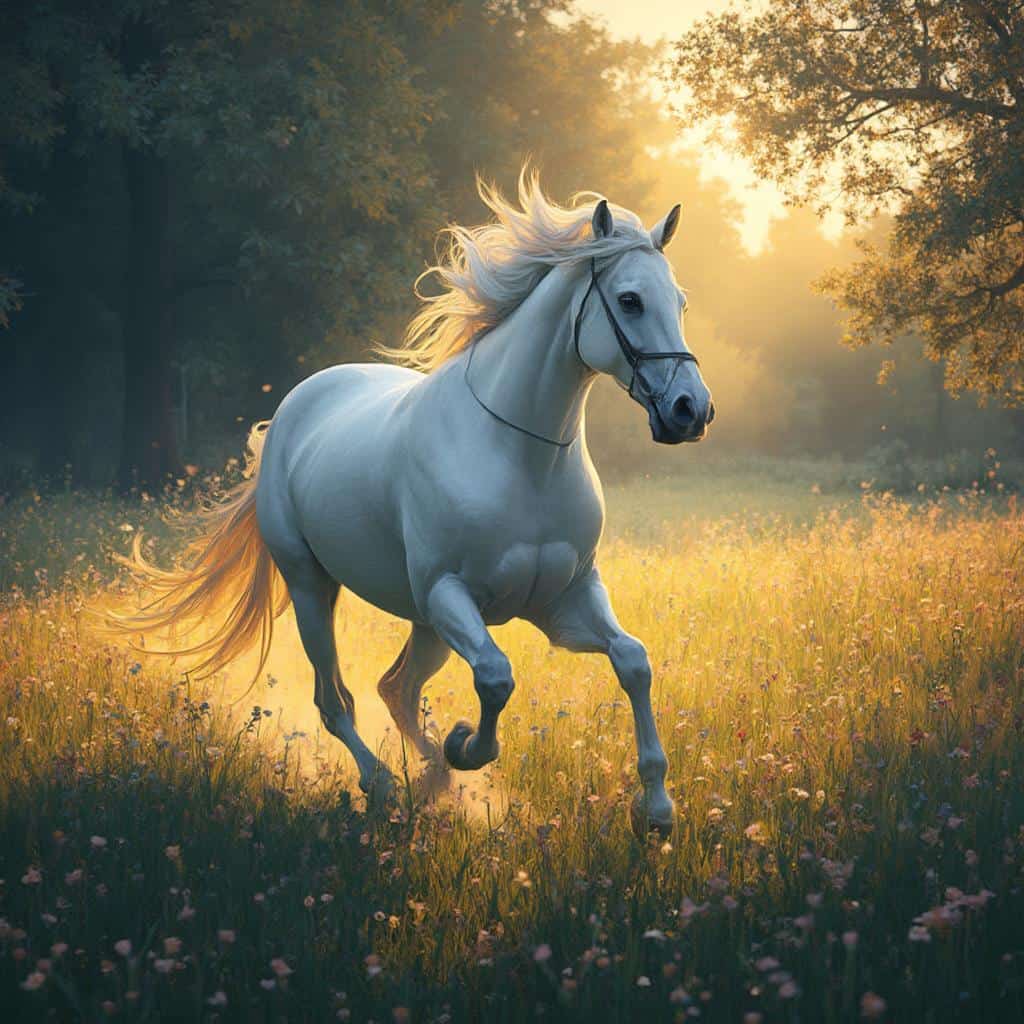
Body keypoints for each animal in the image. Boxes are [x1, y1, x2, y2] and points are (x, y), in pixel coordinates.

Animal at [120, 174, 714, 836]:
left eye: (680, 303)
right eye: (631, 300)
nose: (690, 411)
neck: (519, 456)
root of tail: (293, 410)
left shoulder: (565, 600)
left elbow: (632, 661)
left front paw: (657, 808)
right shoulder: (449, 595)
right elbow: (496, 678)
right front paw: (463, 745)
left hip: (426, 627)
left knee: (395, 689)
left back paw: (429, 783)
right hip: (314, 589)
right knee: (337, 700)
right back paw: (385, 783)